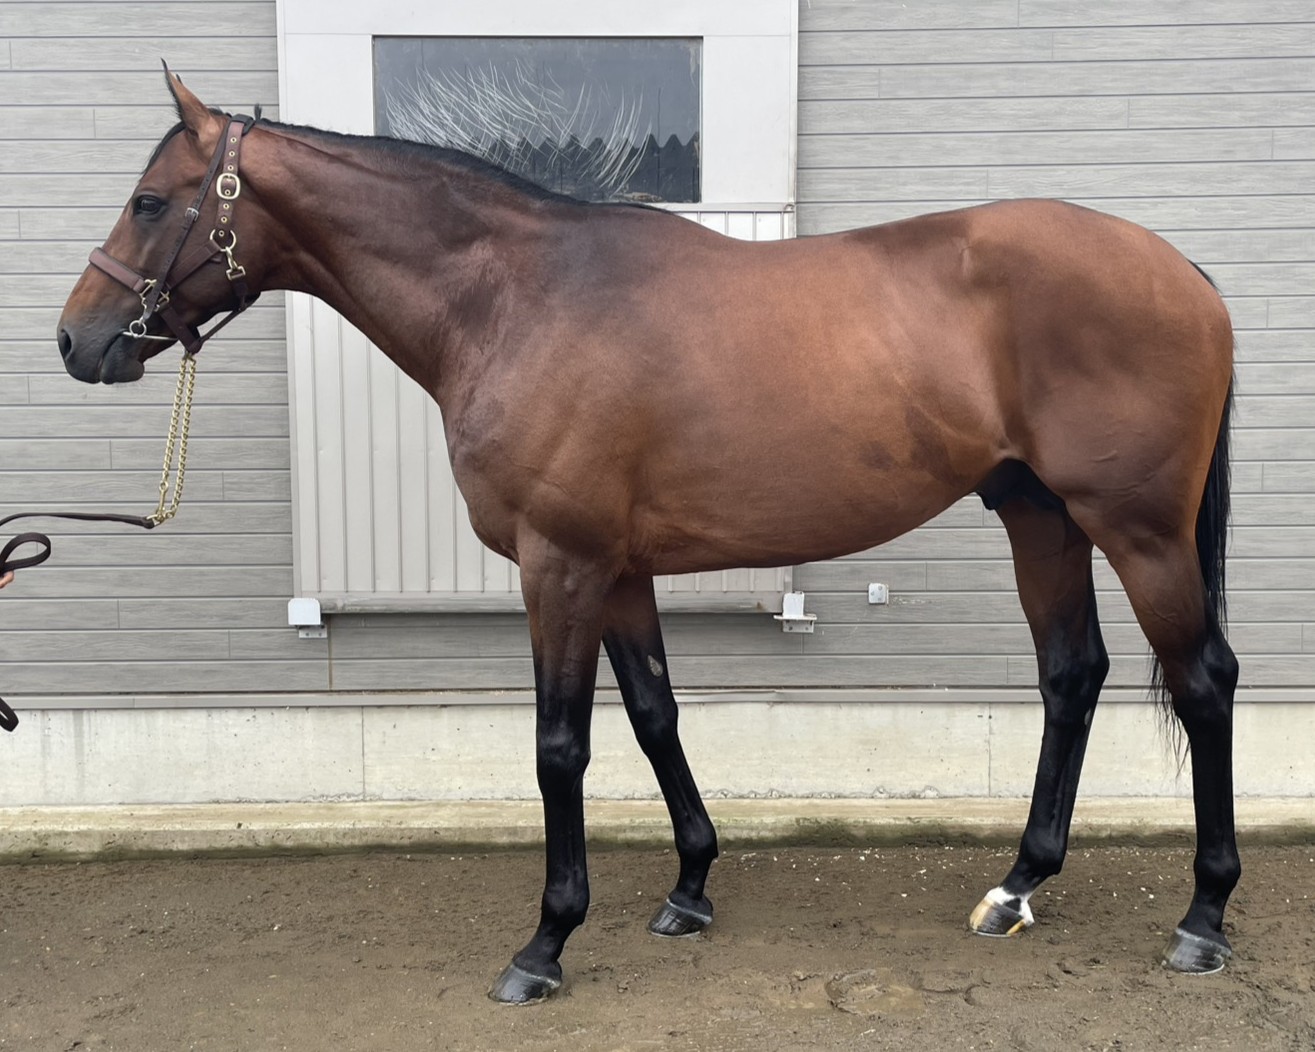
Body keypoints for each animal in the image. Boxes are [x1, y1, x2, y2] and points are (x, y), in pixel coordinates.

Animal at [58, 69, 1239, 1004]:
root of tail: (1181, 272)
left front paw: (545, 941)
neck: (515, 299)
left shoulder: (560, 563)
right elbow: (655, 715)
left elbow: (560, 745)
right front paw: (689, 888)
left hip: (1136, 528)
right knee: (1070, 674)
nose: (76, 340)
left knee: (1203, 679)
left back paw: (1201, 919)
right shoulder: (618, 569)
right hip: (1039, 515)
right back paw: (1017, 884)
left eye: (148, 200)